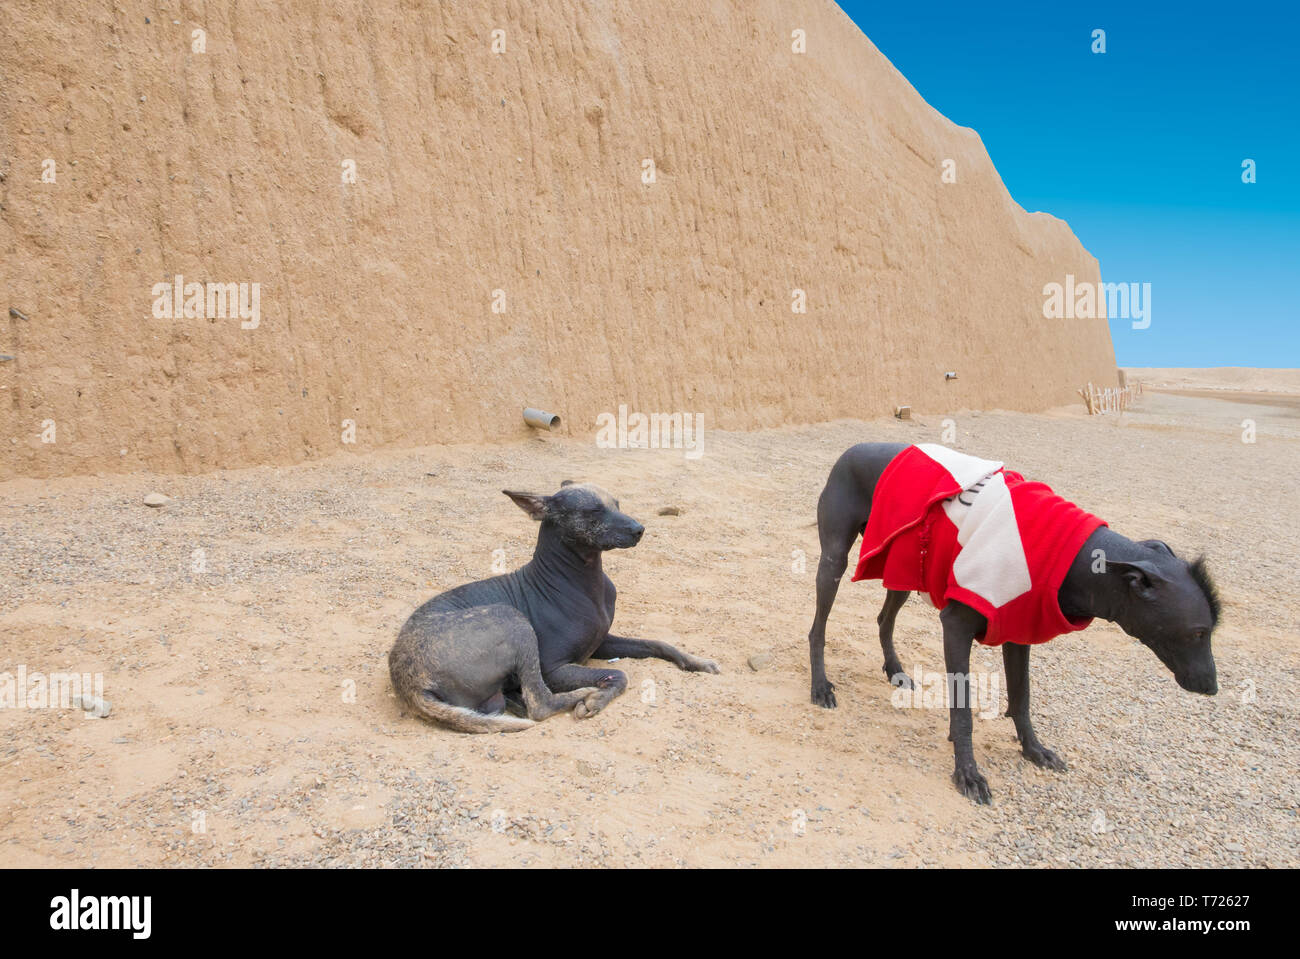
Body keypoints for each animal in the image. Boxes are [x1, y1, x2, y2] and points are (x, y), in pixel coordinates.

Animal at [390, 480, 717, 727]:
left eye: (617, 504)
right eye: (594, 510)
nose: (640, 529)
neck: (586, 581)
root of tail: (408, 683)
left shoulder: (602, 642)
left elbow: (658, 643)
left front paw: (697, 661)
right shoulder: (554, 668)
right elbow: (620, 675)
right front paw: (598, 697)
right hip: (511, 619)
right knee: (540, 704)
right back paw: (582, 693)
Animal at [806, 441, 1222, 800]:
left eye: (1209, 632)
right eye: (1198, 632)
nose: (1212, 687)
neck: (1074, 558)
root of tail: (854, 447)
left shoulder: (1019, 628)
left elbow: (1021, 698)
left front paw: (1034, 749)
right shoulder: (955, 626)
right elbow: (963, 710)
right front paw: (968, 773)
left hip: (903, 568)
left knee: (883, 619)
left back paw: (893, 669)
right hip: (835, 561)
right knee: (817, 629)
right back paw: (821, 686)